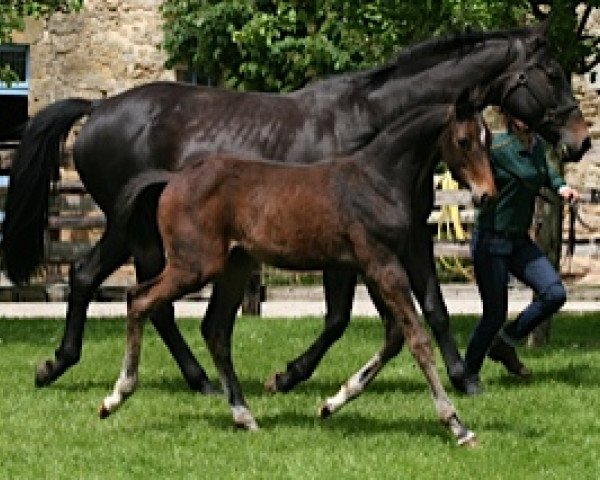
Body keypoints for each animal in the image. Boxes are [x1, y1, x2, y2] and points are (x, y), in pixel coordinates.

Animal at [0, 25, 592, 394]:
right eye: (553, 73)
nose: (581, 140)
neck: (372, 124)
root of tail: (97, 110)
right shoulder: (345, 247)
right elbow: (338, 318)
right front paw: (288, 376)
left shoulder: (411, 236)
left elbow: (434, 305)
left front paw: (465, 377)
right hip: (140, 235)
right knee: (114, 288)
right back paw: (86, 367)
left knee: (120, 291)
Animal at [97, 95, 492, 448]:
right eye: (464, 140)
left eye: (488, 138)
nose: (487, 194)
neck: (378, 180)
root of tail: (173, 179)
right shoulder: (382, 264)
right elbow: (417, 339)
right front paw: (458, 426)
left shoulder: (370, 268)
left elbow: (395, 336)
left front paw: (331, 404)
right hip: (194, 266)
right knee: (139, 299)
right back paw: (116, 397)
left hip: (234, 267)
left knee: (215, 330)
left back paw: (244, 416)